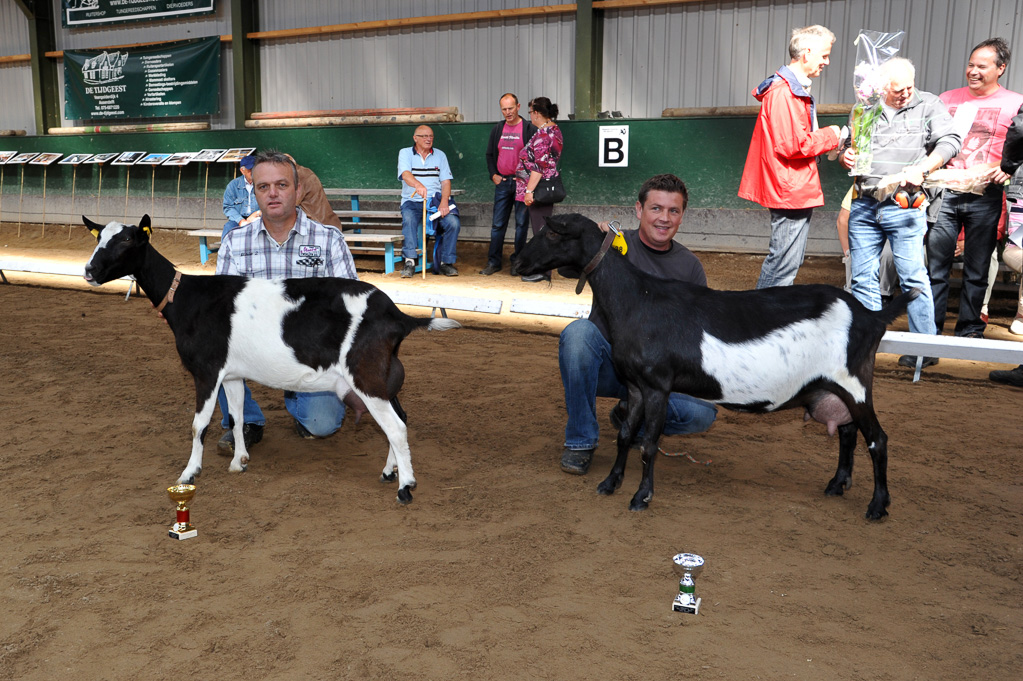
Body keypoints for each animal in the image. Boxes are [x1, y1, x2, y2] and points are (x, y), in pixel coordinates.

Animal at [83, 214, 460, 501]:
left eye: (126, 241)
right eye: (98, 239)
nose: (89, 270)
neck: (188, 298)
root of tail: (397, 315)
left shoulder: (207, 371)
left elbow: (198, 425)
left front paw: (189, 473)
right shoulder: (232, 374)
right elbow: (235, 416)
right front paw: (239, 461)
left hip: (365, 374)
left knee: (395, 427)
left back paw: (405, 486)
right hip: (385, 377)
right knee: (400, 419)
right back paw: (389, 471)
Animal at [515, 214, 916, 517]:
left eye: (553, 232)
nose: (517, 261)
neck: (638, 299)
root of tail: (871, 316)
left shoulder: (658, 385)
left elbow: (648, 443)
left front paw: (641, 497)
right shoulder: (634, 385)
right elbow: (626, 435)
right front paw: (610, 483)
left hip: (854, 383)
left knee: (877, 438)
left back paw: (877, 506)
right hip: (833, 388)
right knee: (848, 433)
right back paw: (836, 484)